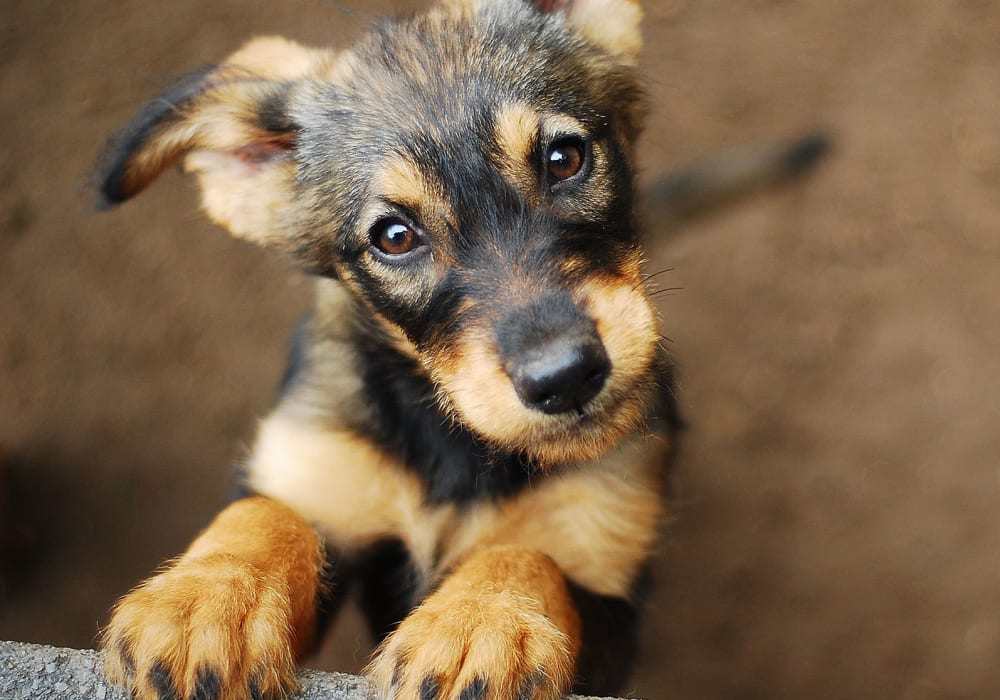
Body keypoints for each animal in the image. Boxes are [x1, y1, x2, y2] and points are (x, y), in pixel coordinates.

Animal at [95, 1, 680, 700]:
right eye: (395, 237)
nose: (564, 377)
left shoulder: (609, 589)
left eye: (565, 158)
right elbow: (266, 513)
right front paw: (203, 600)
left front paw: (477, 623)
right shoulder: (321, 468)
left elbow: (525, 553)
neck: (455, 448)